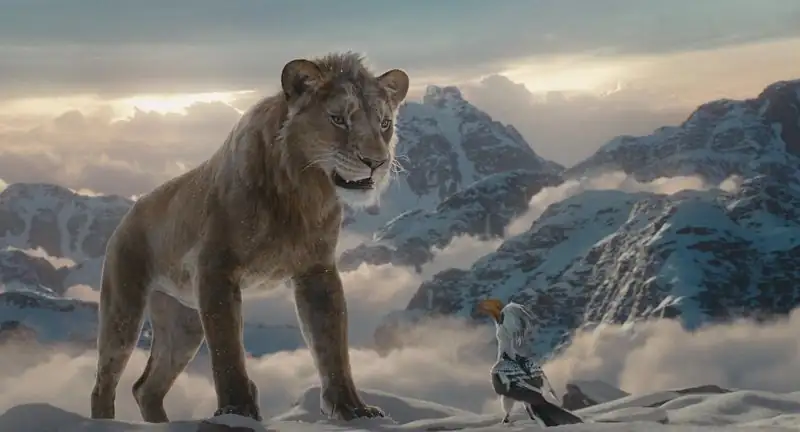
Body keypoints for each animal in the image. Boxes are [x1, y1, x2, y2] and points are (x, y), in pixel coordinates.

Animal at [90, 52, 409, 423]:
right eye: (338, 119)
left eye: (385, 123)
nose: (377, 162)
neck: (303, 191)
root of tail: (128, 215)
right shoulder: (215, 269)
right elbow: (228, 348)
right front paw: (237, 410)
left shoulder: (317, 270)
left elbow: (332, 344)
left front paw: (352, 409)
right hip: (123, 308)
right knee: (104, 382)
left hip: (183, 324)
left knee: (146, 387)